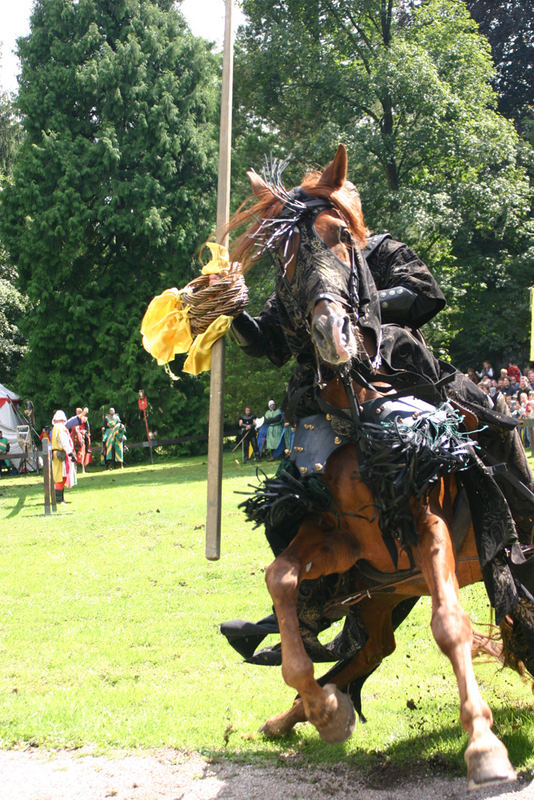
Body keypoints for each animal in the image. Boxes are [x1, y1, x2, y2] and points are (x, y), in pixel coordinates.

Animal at [228, 142, 532, 788]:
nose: (331, 333)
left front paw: (484, 746)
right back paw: (298, 715)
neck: (359, 405)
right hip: (384, 591)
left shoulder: (426, 521)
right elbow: (281, 579)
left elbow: (450, 624)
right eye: (282, 258)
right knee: (371, 648)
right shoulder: (343, 539)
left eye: (342, 235)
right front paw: (321, 707)